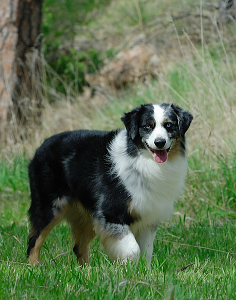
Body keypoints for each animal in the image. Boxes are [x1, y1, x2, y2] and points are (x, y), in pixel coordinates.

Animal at [27, 102, 193, 264]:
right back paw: (33, 267)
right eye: (147, 126)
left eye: (169, 125)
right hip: (50, 206)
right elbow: (133, 250)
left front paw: (143, 271)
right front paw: (126, 269)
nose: (159, 142)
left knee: (79, 246)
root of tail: (43, 144)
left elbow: (146, 252)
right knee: (34, 239)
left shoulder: (147, 217)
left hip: (88, 214)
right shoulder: (111, 213)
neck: (142, 160)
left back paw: (86, 270)